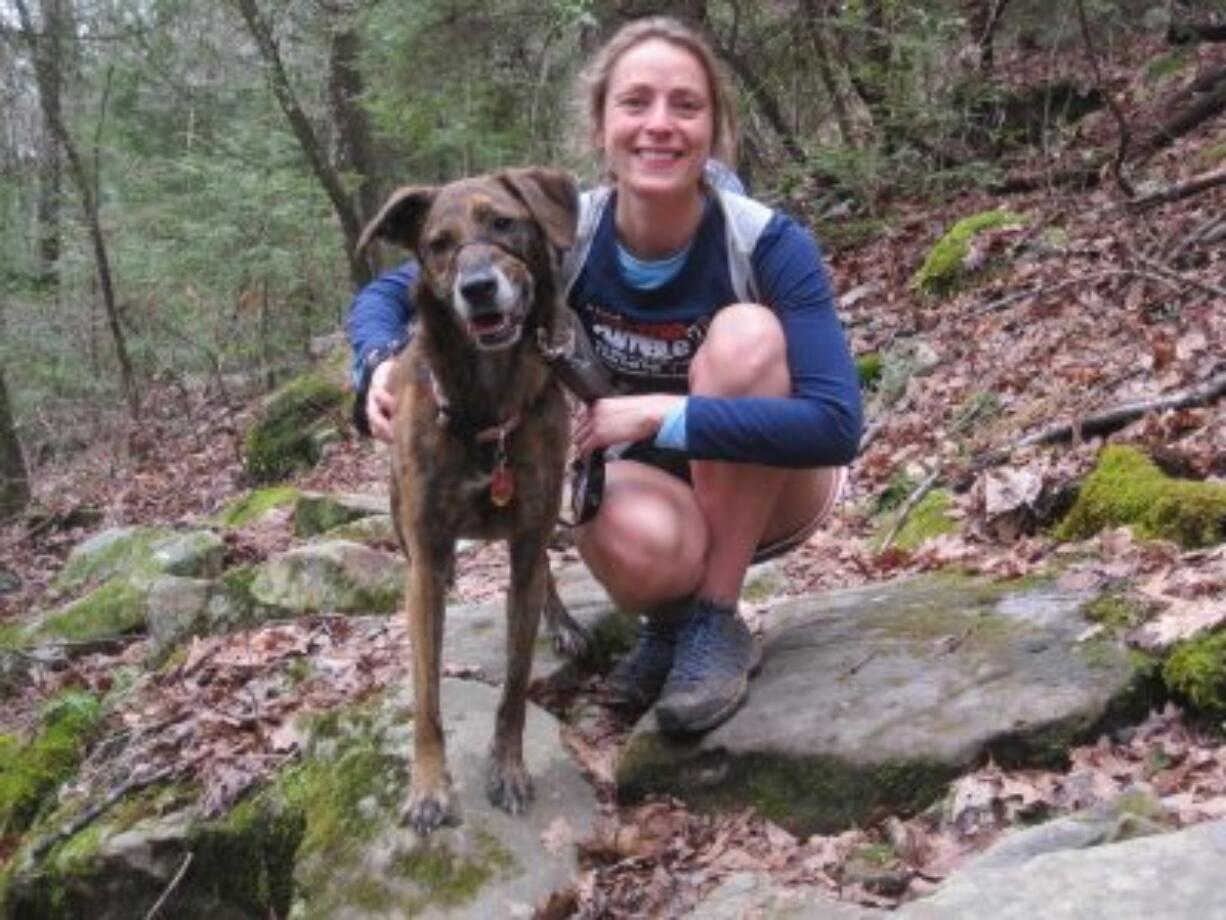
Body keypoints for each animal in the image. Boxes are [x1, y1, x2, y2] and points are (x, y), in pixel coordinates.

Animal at [357, 168, 586, 834]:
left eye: (503, 222)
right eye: (437, 244)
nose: (477, 288)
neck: (487, 405)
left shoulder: (530, 536)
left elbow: (514, 686)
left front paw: (507, 767)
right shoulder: (423, 569)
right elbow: (426, 697)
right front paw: (430, 786)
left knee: (544, 573)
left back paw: (562, 621)